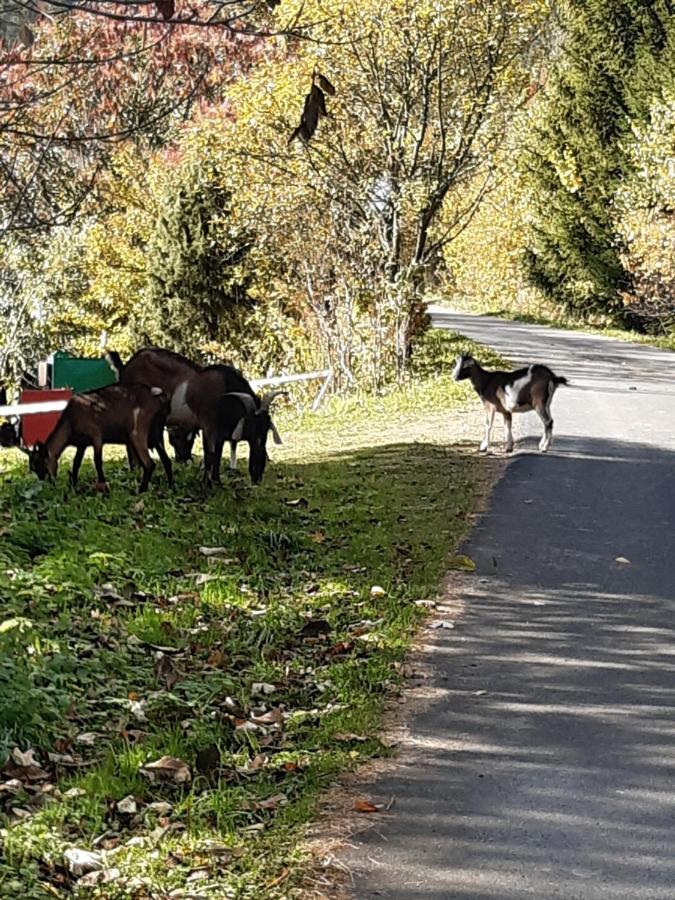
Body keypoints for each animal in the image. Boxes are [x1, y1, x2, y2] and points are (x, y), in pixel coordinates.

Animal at [27, 382, 173, 492]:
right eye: (33, 468)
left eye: (43, 464)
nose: (46, 483)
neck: (69, 422)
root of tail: (160, 398)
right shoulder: (82, 445)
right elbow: (76, 463)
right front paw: (74, 484)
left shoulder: (96, 436)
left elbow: (97, 461)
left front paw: (103, 485)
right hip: (156, 435)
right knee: (166, 460)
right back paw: (171, 487)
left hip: (137, 432)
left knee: (149, 464)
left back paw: (141, 490)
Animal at [109, 346, 284, 486]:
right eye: (251, 430)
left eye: (266, 431)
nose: (257, 476)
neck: (225, 394)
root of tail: (125, 368)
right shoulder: (208, 427)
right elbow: (209, 455)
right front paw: (207, 484)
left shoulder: (221, 432)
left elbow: (218, 455)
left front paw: (217, 481)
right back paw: (135, 469)